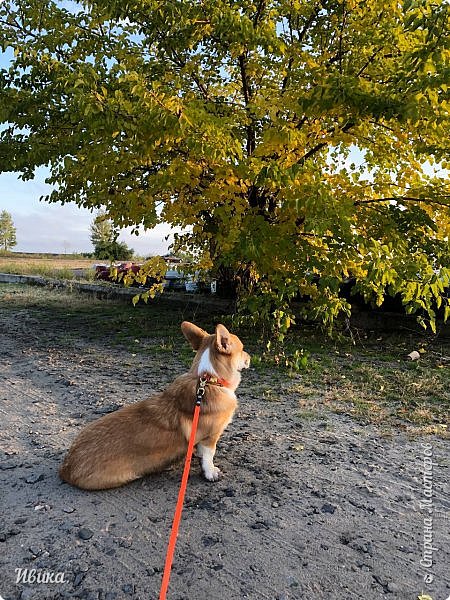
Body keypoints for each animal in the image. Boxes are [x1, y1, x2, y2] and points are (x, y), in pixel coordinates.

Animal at [58, 324, 251, 488]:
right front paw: (211, 472)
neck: (210, 380)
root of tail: (66, 469)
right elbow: (209, 456)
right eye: (242, 349)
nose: (250, 357)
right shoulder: (211, 437)